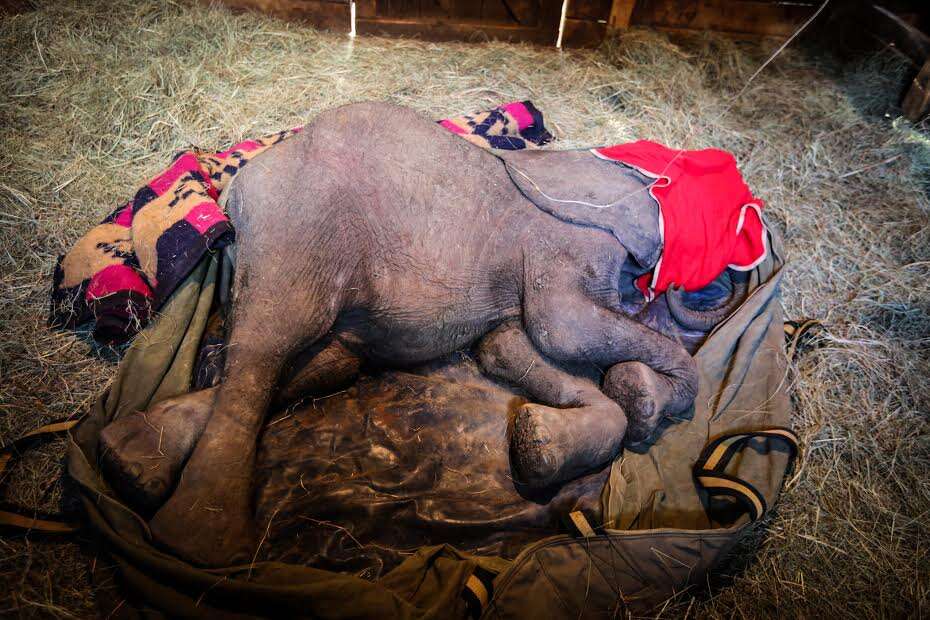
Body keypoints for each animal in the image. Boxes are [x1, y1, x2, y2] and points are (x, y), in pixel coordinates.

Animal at [101, 101, 740, 568]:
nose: (705, 296)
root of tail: (236, 189)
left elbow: (505, 347)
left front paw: (539, 444)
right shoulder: (569, 241)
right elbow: (564, 329)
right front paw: (644, 396)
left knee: (324, 361)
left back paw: (131, 458)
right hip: (302, 224)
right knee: (266, 346)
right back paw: (197, 536)